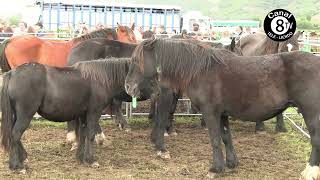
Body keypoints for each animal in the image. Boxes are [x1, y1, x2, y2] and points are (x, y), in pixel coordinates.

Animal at [0, 57, 155, 173]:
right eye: (149, 77)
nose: (157, 93)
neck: (100, 78)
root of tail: (12, 73)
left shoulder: (83, 114)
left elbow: (83, 134)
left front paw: (81, 157)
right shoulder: (94, 112)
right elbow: (90, 135)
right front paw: (91, 160)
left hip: (18, 115)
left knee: (14, 135)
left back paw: (23, 158)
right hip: (25, 114)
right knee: (15, 135)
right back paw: (16, 166)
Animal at [124, 37, 320, 179]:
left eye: (137, 61)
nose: (128, 87)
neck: (200, 71)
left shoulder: (210, 112)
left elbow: (215, 140)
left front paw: (216, 168)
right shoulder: (222, 114)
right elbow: (226, 137)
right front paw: (231, 164)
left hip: (311, 113)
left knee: (316, 141)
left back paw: (309, 172)